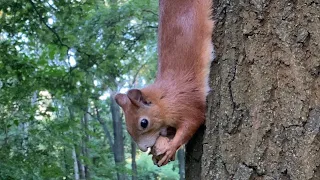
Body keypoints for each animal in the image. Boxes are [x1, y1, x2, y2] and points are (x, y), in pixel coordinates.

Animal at [114, 0, 212, 167]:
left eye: (144, 123)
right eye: (127, 127)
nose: (143, 148)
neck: (164, 99)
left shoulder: (187, 104)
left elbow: (192, 123)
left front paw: (171, 149)